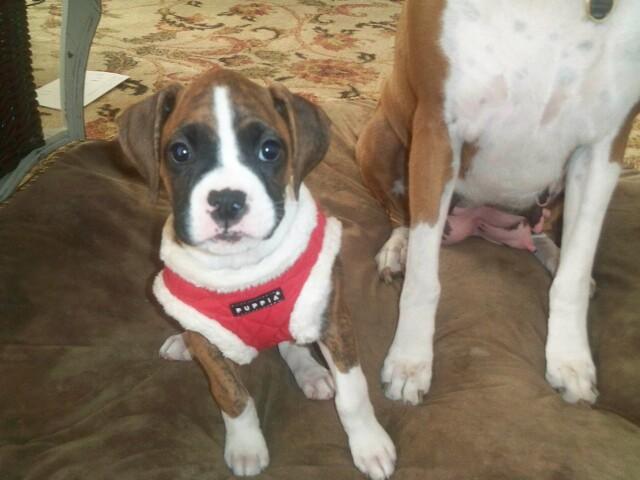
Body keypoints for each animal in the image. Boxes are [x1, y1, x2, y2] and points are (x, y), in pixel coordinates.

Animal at [117, 68, 396, 478]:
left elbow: (353, 393)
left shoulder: (332, 319)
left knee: (290, 343)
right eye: (180, 152)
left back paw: (311, 374)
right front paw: (246, 445)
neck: (242, 271)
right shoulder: (210, 343)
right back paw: (182, 343)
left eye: (270, 150)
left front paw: (370, 444)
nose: (227, 201)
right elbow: (233, 396)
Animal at [356, 0, 640, 406]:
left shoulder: (605, 147)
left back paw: (553, 254)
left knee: (545, 237)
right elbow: (423, 278)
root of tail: (479, 224)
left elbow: (574, 272)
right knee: (403, 218)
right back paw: (398, 249)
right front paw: (410, 361)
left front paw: (570, 359)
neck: (549, 12)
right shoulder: (437, 129)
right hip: (380, 136)